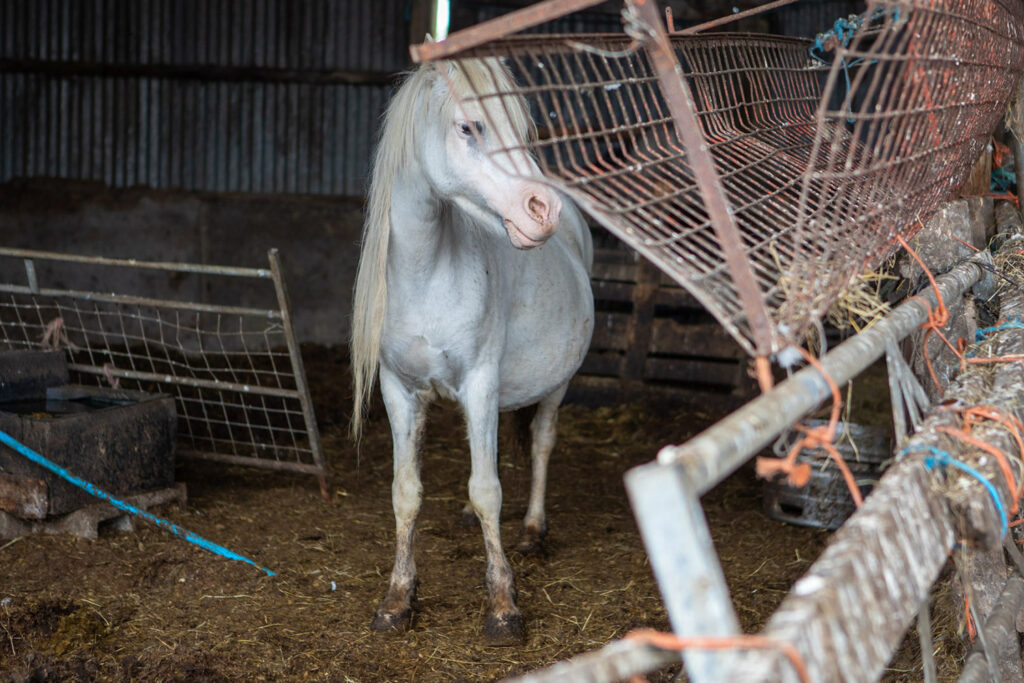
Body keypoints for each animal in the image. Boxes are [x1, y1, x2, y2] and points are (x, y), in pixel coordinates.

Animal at [350, 57, 593, 643]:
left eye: (522, 128)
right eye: (468, 127)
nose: (543, 209)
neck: (428, 272)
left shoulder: (481, 381)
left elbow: (489, 489)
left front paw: (503, 607)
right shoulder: (398, 390)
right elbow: (406, 492)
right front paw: (397, 600)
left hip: (557, 385)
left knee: (542, 443)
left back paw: (532, 531)